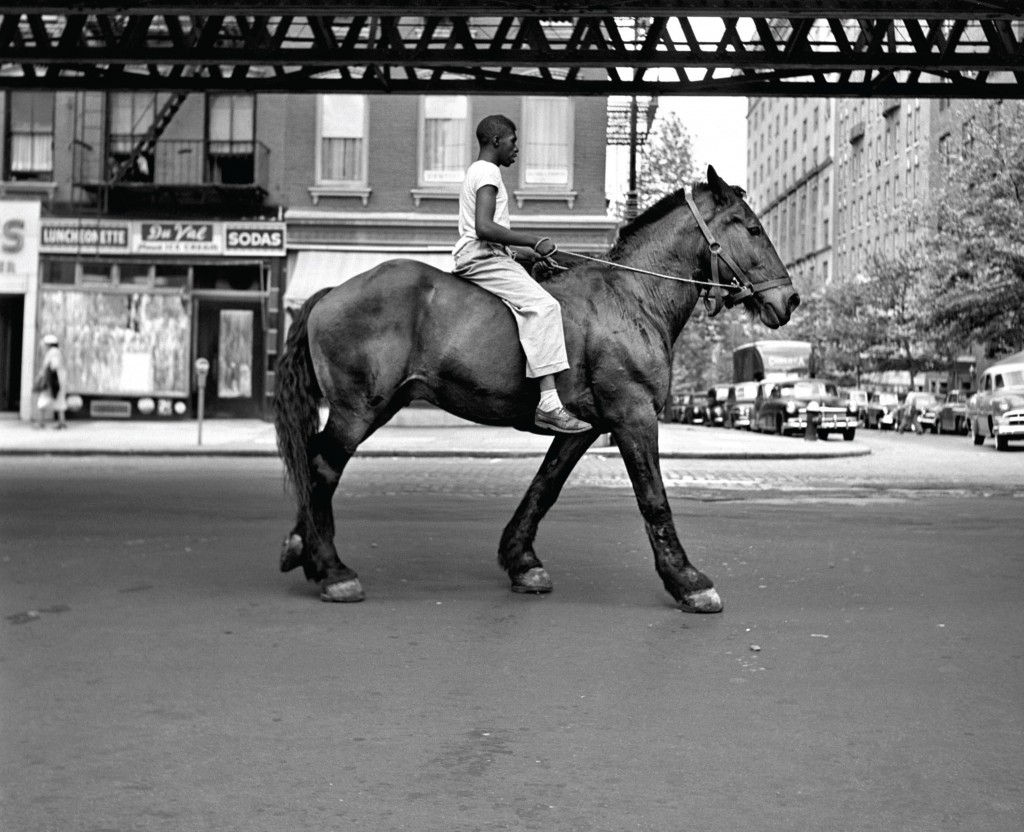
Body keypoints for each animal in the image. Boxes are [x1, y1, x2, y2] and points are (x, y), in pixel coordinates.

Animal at [274, 167, 798, 610]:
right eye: (751, 227)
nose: (789, 298)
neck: (633, 296)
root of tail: (332, 292)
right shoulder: (634, 416)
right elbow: (653, 499)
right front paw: (688, 580)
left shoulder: (584, 428)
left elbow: (545, 487)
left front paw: (521, 561)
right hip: (358, 410)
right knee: (322, 467)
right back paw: (332, 569)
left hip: (377, 406)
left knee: (315, 460)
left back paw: (302, 547)